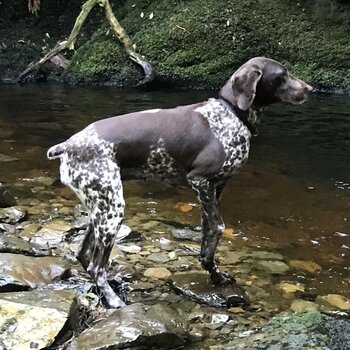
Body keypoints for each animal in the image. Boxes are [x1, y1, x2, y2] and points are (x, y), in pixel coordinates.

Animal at [47, 58, 314, 308]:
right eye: (282, 75)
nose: (310, 88)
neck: (231, 113)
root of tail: (68, 146)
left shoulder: (215, 189)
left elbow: (207, 233)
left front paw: (214, 273)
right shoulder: (199, 181)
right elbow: (217, 228)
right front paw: (214, 274)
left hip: (99, 209)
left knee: (83, 254)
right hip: (112, 210)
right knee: (96, 266)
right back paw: (113, 299)